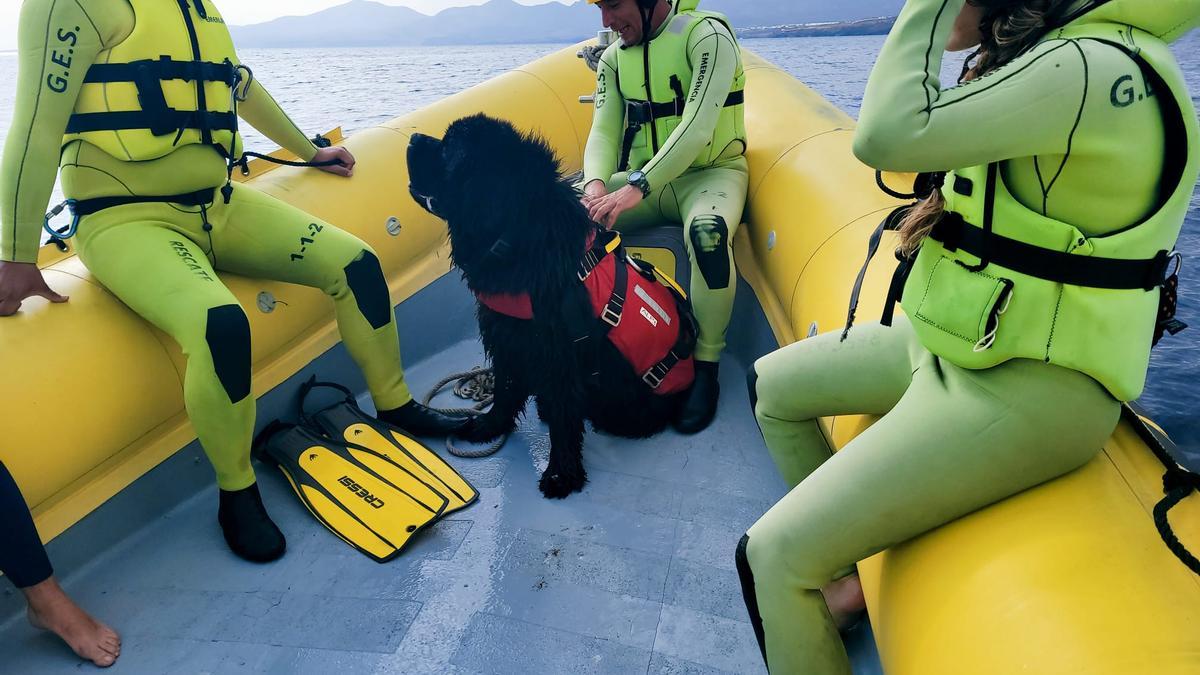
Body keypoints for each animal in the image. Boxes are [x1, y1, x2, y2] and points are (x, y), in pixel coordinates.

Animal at [408, 112, 700, 497]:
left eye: (450, 147)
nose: (411, 138)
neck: (517, 235)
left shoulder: (557, 349)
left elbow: (563, 413)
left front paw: (562, 473)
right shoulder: (507, 334)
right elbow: (505, 388)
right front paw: (489, 426)